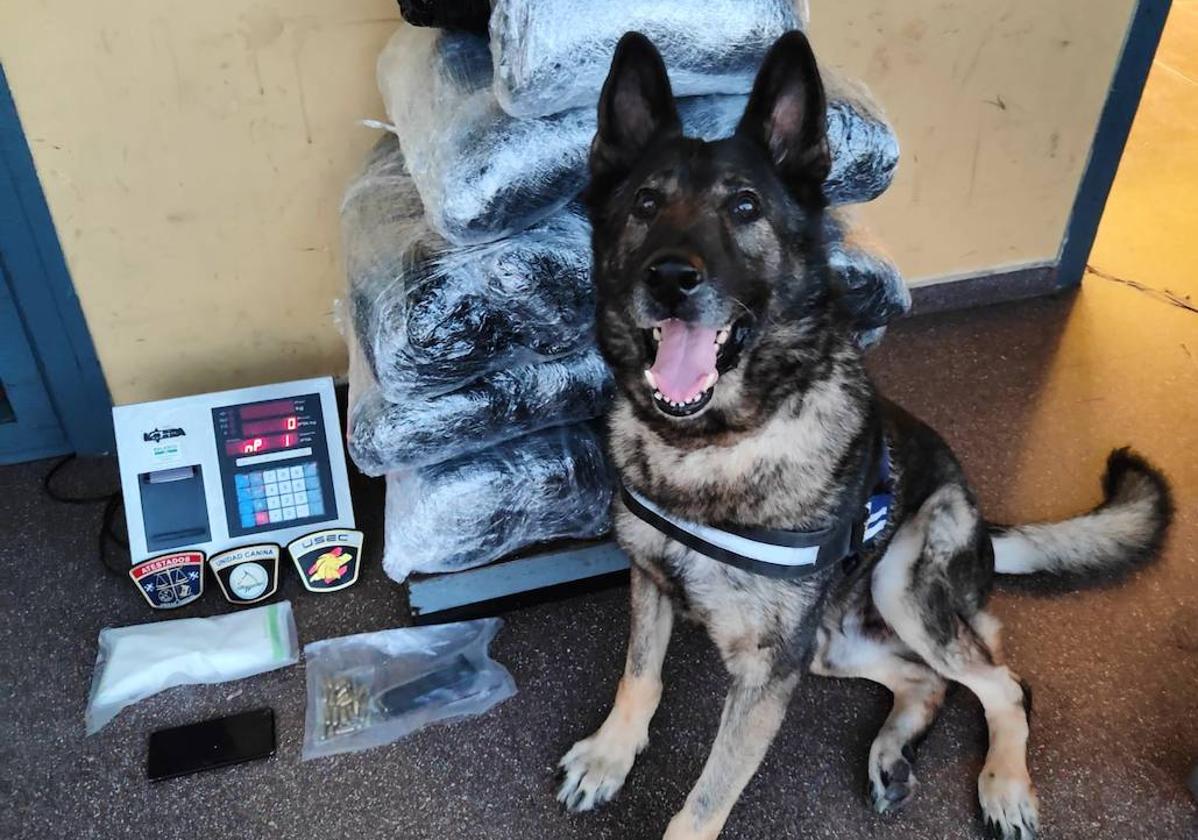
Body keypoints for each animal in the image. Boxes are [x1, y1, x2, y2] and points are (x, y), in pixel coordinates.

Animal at [555, 29, 1174, 834]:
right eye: (645, 204)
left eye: (745, 206)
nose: (669, 278)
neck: (712, 444)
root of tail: (982, 522)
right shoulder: (654, 586)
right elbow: (639, 677)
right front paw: (610, 754)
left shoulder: (768, 675)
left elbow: (703, 804)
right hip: (831, 641)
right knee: (926, 679)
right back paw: (891, 752)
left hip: (900, 581)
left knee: (1004, 681)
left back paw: (1004, 784)